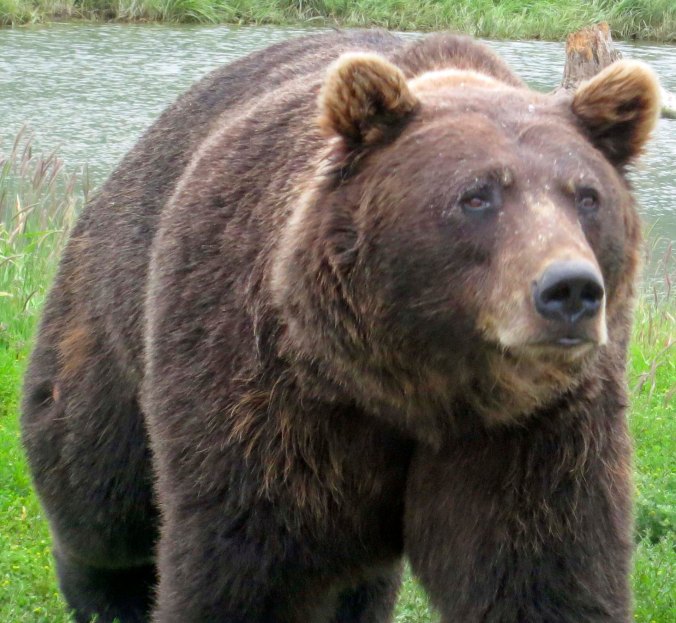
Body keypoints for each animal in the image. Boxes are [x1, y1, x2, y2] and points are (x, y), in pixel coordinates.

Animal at [20, 29, 660, 623]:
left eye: (587, 196)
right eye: (476, 195)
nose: (570, 290)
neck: (419, 384)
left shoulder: (536, 429)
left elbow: (539, 569)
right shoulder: (271, 394)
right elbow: (245, 557)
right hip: (110, 314)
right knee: (98, 495)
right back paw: (108, 595)